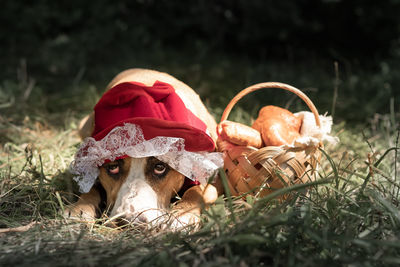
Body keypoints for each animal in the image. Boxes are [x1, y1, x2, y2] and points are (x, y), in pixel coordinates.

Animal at [65, 68, 222, 228]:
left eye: (160, 167)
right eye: (113, 167)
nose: (130, 222)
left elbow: (196, 192)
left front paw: (182, 216)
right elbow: (90, 188)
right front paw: (80, 209)